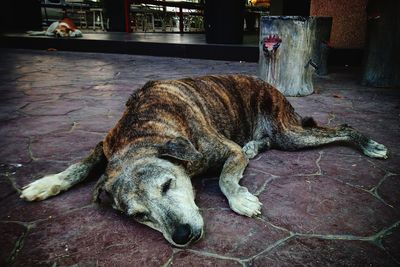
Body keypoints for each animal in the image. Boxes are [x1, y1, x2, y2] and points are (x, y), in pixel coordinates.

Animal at [20, 74, 390, 248]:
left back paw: (370, 144)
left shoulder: (226, 151)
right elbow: (80, 165)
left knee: (341, 128)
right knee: (264, 142)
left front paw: (240, 199)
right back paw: (254, 145)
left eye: (167, 184)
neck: (143, 130)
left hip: (290, 134)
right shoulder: (107, 145)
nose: (182, 235)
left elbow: (225, 178)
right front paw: (46, 183)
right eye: (139, 216)